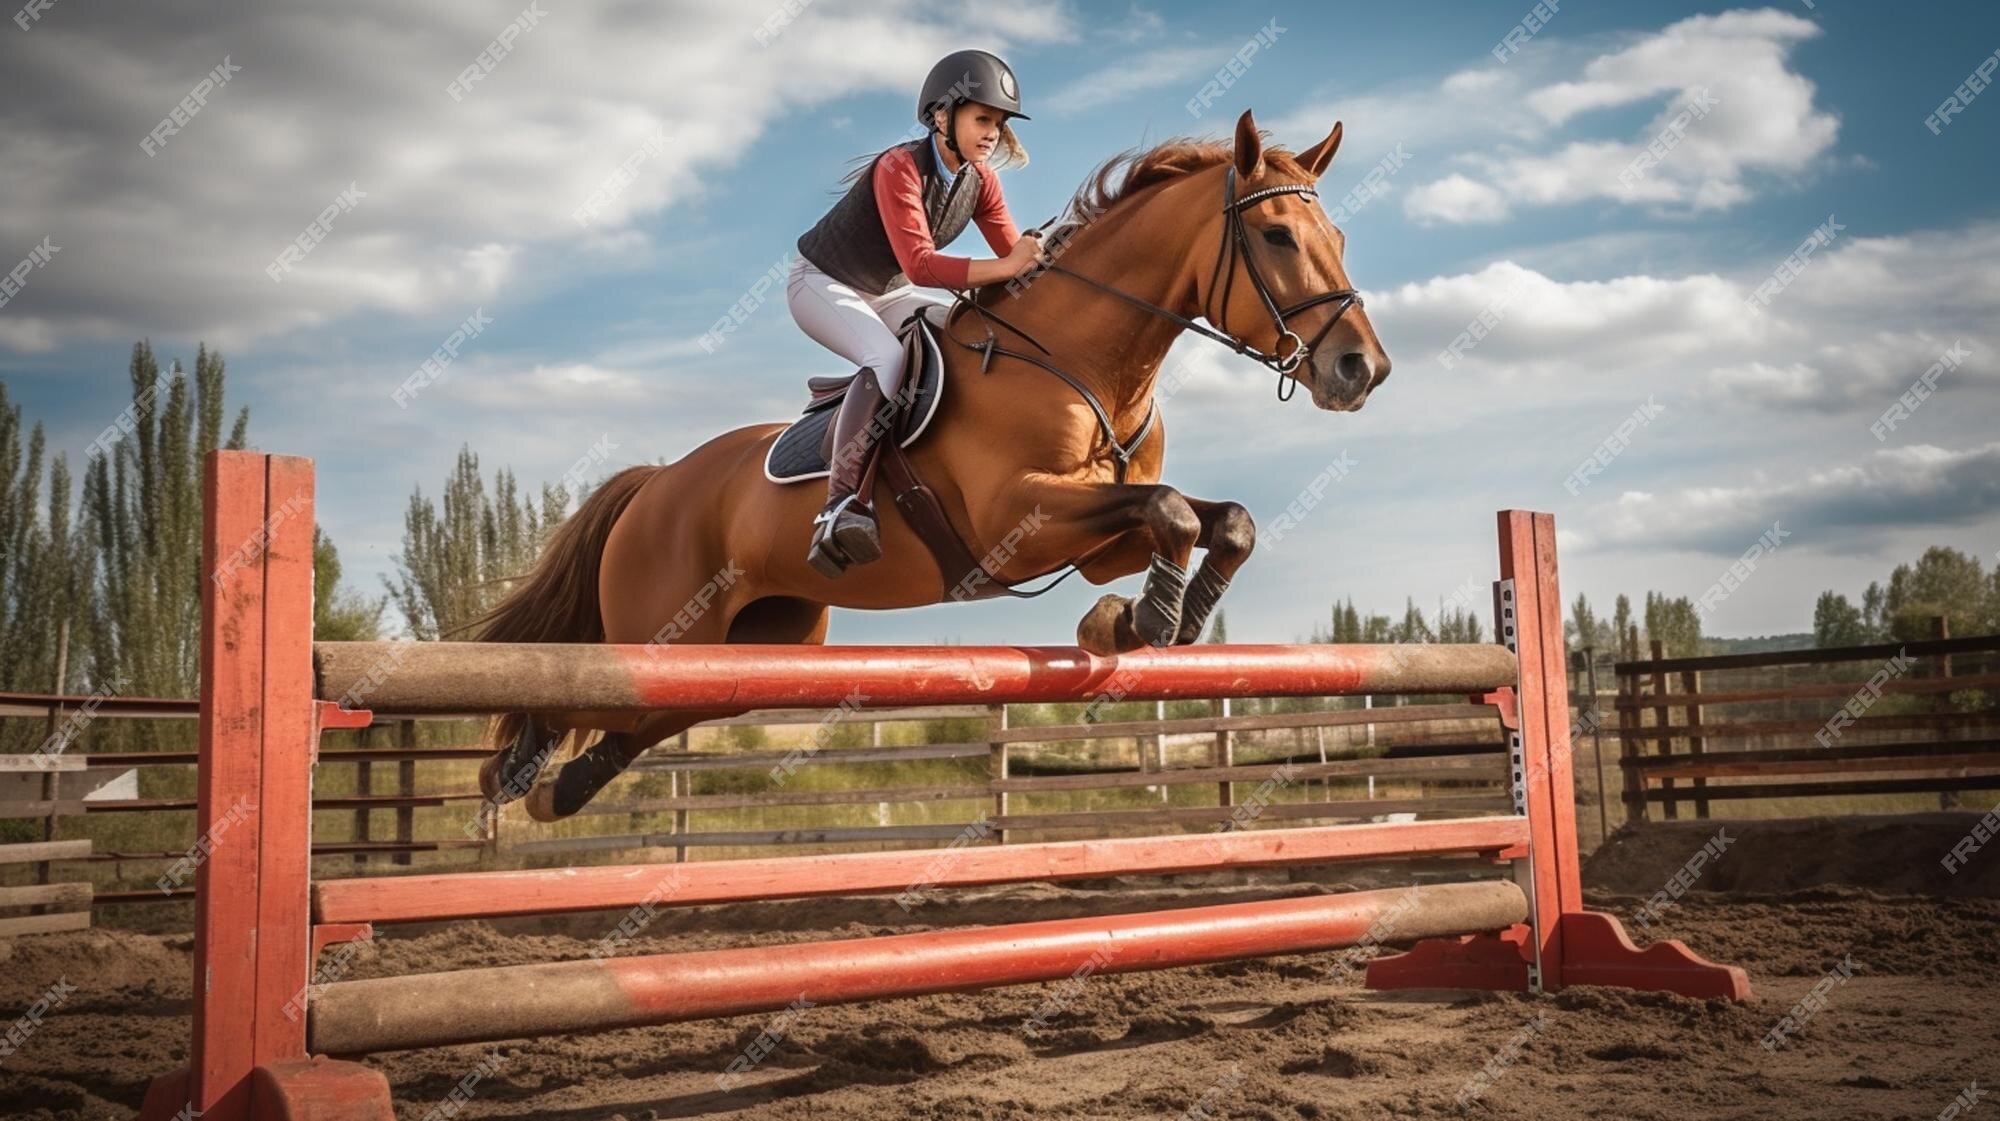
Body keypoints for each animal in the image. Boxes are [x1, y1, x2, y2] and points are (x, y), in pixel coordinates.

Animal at [476, 109, 1400, 820]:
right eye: (1276, 236)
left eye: (1339, 235)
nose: (1363, 369)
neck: (1085, 361)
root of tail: (655, 483)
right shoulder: (1019, 521)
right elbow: (1173, 509)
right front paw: (1145, 620)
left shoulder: (1098, 538)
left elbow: (1216, 519)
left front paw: (1135, 620)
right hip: (661, 629)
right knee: (576, 691)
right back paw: (514, 770)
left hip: (754, 647)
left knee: (641, 721)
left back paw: (553, 789)